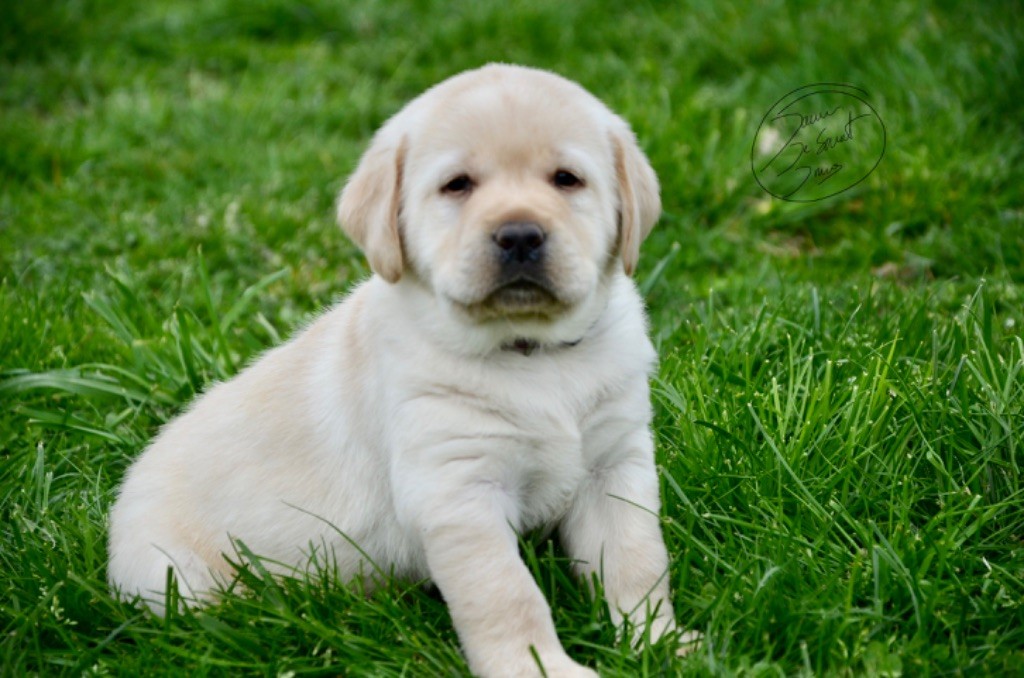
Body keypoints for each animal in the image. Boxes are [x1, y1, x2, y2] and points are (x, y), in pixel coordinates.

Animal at [108, 62, 692, 675]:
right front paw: (539, 667)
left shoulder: (615, 465)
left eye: (566, 179)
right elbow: (507, 594)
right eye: (457, 185)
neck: (530, 353)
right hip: (175, 578)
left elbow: (636, 559)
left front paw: (659, 641)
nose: (519, 235)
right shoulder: (458, 492)